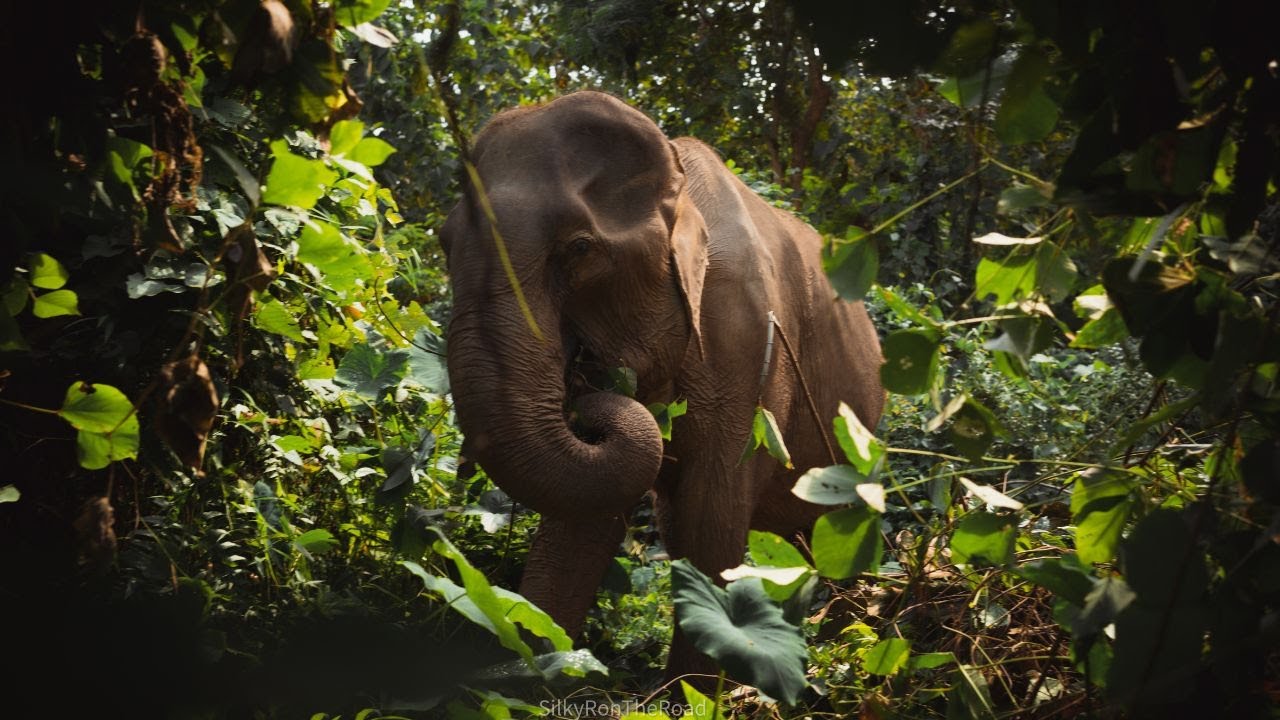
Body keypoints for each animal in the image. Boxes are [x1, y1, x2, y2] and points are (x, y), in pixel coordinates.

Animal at [441, 90, 884, 679]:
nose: (584, 392)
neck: (676, 181)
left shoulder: (748, 348)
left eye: (579, 249)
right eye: (444, 244)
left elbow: (710, 528)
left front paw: (689, 690)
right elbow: (585, 522)